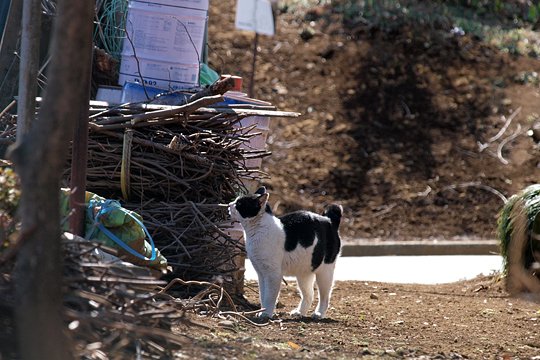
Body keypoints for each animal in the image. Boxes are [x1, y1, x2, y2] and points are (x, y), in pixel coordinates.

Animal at [228, 187, 342, 320]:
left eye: (239, 204)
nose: (229, 204)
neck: (258, 230)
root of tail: (329, 220)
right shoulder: (261, 274)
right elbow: (263, 295)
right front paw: (262, 311)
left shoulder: (273, 274)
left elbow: (269, 296)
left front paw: (266, 313)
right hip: (304, 273)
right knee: (309, 295)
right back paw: (299, 312)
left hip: (324, 272)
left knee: (325, 297)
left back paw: (318, 314)